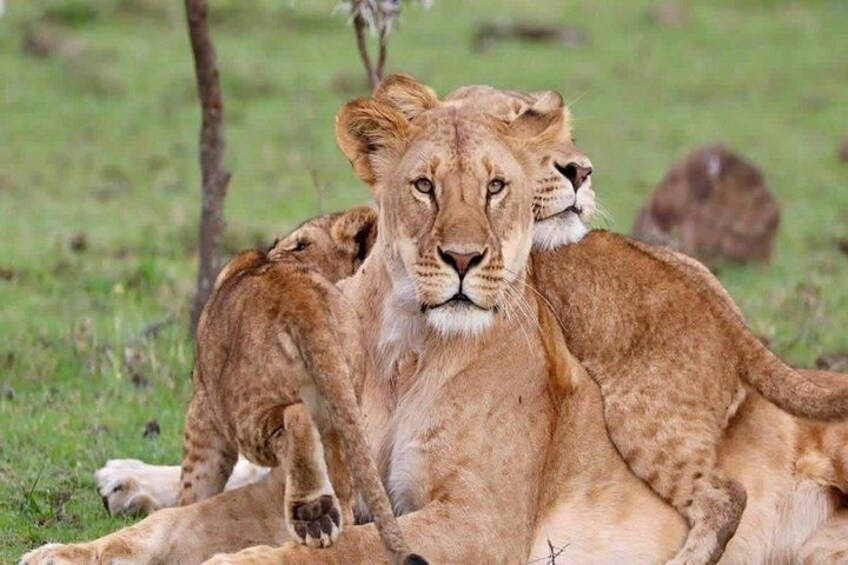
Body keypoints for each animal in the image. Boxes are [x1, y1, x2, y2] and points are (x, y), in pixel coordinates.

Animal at [19, 78, 848, 565]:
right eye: (423, 185)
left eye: (495, 184)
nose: (461, 256)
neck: (403, 350)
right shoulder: (324, 470)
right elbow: (183, 524)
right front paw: (68, 549)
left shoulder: (474, 525)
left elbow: (330, 550)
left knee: (721, 497)